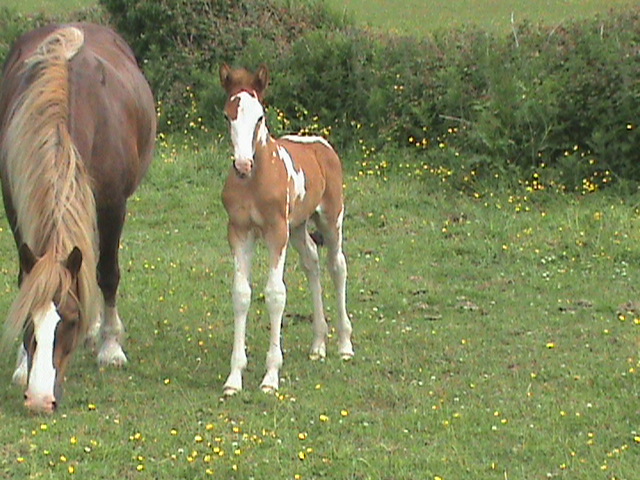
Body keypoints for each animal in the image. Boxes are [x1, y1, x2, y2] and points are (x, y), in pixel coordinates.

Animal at [0, 23, 156, 412]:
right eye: (27, 321)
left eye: (69, 321)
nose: (40, 400)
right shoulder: (15, 205)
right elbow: (28, 278)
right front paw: (22, 365)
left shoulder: (113, 204)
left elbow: (107, 274)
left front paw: (111, 347)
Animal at [220, 63, 356, 394]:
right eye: (228, 116)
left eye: (260, 117)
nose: (242, 165)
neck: (255, 181)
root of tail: (321, 144)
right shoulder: (239, 231)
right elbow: (241, 293)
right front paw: (234, 378)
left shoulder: (275, 232)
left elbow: (275, 294)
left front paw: (270, 376)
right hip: (297, 228)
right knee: (312, 263)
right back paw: (318, 344)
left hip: (331, 219)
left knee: (337, 266)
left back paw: (344, 345)